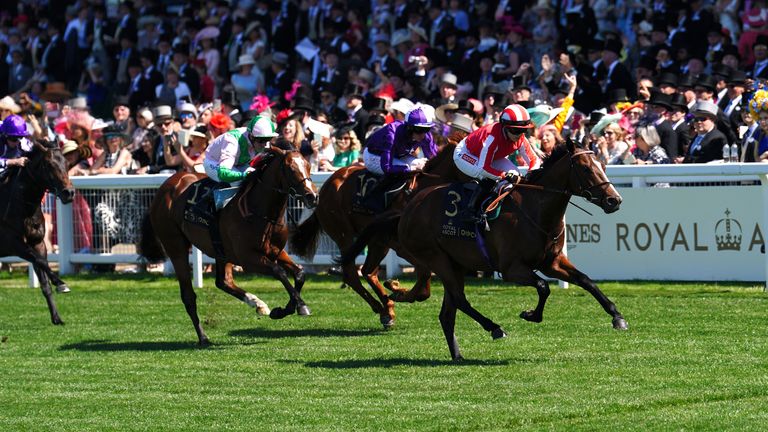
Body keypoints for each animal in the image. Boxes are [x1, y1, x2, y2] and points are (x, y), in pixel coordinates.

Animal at [0, 140, 75, 326]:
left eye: (67, 163)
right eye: (48, 164)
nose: (68, 193)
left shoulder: (38, 243)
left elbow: (44, 279)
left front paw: (57, 318)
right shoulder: (14, 244)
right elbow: (41, 261)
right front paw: (60, 282)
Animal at [139, 147, 318, 346]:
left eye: (308, 165)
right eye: (290, 168)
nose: (312, 196)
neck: (260, 212)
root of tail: (164, 187)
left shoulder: (276, 252)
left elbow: (300, 273)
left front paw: (284, 309)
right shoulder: (248, 258)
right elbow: (279, 272)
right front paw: (299, 306)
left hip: (220, 250)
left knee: (223, 281)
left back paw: (257, 303)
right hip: (175, 246)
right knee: (188, 295)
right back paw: (203, 337)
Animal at [290, 143, 464, 328]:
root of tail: (324, 188)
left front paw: (396, 289)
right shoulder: (403, 245)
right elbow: (425, 273)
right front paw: (399, 291)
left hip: (376, 240)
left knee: (368, 271)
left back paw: (387, 310)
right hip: (345, 235)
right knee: (352, 274)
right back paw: (381, 308)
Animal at [340, 139, 628, 362]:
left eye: (602, 166)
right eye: (585, 168)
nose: (614, 200)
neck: (535, 209)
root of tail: (406, 212)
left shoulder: (552, 262)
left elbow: (587, 281)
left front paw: (617, 317)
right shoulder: (512, 269)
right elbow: (544, 287)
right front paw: (531, 314)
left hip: (454, 263)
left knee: (448, 312)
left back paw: (457, 354)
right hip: (438, 259)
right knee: (459, 300)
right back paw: (493, 328)